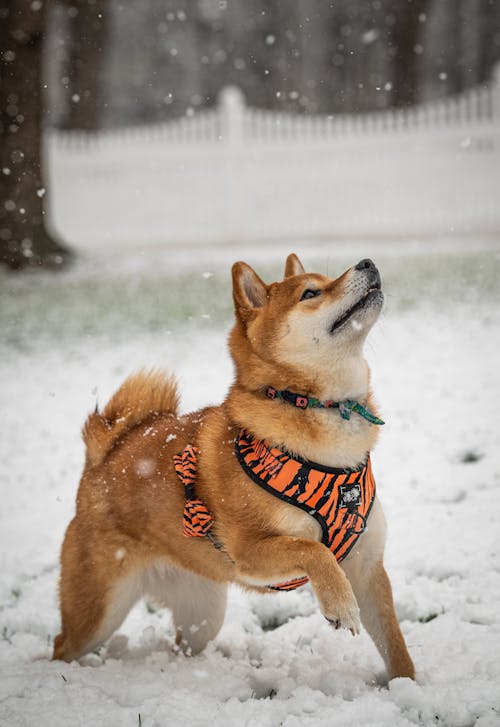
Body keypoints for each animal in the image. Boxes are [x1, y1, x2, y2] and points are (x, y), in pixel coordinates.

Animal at [53, 255, 414, 684]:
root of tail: (100, 460)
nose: (367, 262)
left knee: (183, 644)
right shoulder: (249, 551)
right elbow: (312, 549)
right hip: (97, 611)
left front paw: (409, 687)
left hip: (203, 612)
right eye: (311, 292)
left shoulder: (367, 565)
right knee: (61, 646)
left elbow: (396, 647)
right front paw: (339, 604)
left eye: (329, 278)